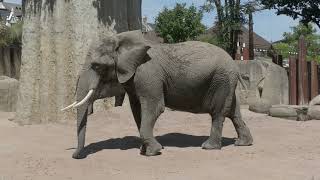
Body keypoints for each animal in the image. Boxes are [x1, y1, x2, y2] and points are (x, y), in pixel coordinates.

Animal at [62, 30, 252, 158]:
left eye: (97, 66)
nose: (75, 156)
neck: (122, 40)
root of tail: (235, 65)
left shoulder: (147, 74)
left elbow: (154, 107)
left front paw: (153, 152)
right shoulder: (134, 80)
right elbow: (137, 110)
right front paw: (144, 151)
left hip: (221, 80)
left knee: (218, 112)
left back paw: (209, 147)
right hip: (226, 81)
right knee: (234, 112)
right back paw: (243, 144)